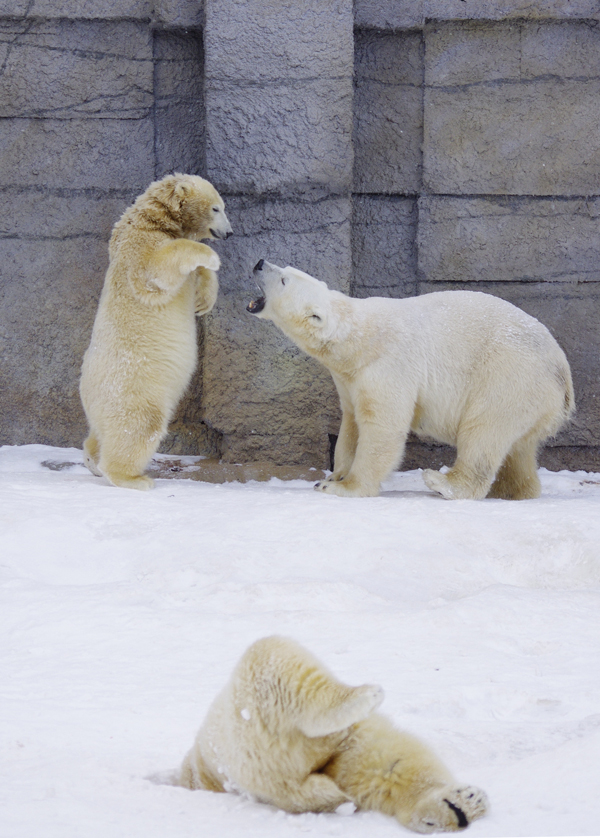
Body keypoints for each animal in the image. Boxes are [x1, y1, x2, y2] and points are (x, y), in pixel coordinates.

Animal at [78, 176, 232, 492]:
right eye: (216, 208)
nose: (229, 232)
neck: (153, 218)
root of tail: (85, 393)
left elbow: (195, 276)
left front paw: (204, 301)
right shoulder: (139, 246)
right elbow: (157, 268)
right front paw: (212, 257)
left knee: (101, 432)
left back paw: (92, 461)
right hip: (132, 387)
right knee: (139, 425)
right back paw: (134, 478)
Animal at [178, 636, 488, 832]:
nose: (461, 817)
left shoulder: (348, 751)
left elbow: (386, 767)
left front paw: (465, 803)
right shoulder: (347, 736)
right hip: (239, 725)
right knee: (271, 654)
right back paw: (365, 694)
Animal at [246, 260, 576, 498]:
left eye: (285, 279)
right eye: (285, 268)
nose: (259, 263)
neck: (356, 339)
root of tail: (563, 373)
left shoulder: (387, 366)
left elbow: (382, 425)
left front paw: (343, 486)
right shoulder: (348, 377)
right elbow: (351, 423)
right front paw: (333, 474)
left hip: (510, 374)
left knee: (485, 429)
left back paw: (443, 483)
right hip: (532, 395)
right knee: (518, 448)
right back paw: (515, 490)